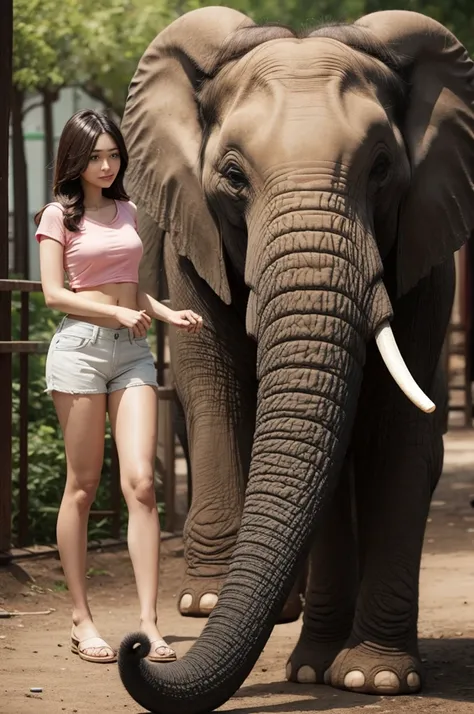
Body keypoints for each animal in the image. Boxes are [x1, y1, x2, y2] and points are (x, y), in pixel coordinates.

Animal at [116, 6, 474, 712]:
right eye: (232, 176)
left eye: (382, 168)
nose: (139, 646)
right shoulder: (189, 240)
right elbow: (220, 391)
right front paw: (218, 611)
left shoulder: (427, 261)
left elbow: (397, 431)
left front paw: (374, 679)